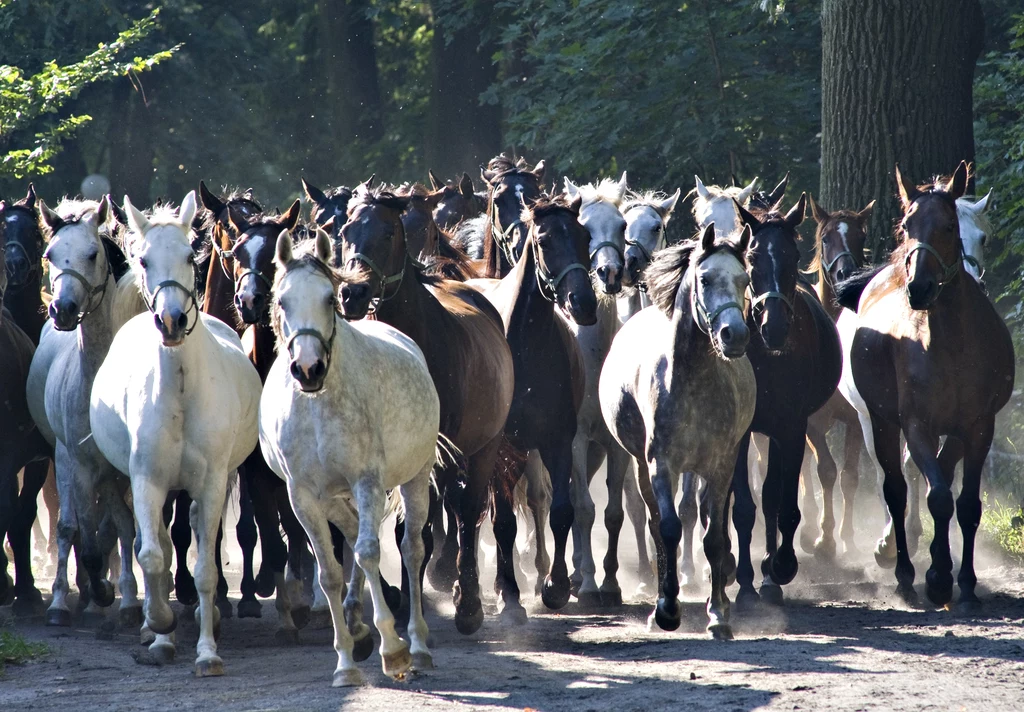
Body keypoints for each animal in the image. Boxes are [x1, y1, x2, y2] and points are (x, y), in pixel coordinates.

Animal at [88, 192, 262, 676]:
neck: (182, 390)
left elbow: (205, 570)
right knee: (161, 547)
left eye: (190, 256)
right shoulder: (147, 480)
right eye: (144, 260)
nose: (171, 320)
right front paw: (159, 626)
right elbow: (151, 555)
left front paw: (207, 652)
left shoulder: (212, 481)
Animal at [258, 228, 438, 684]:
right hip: (333, 498)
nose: (308, 368)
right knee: (355, 536)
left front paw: (394, 649)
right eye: (282, 300)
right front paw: (344, 662)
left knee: (410, 548)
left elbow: (369, 552)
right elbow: (329, 573)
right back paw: (358, 625)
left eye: (329, 298)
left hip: (414, 478)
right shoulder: (303, 497)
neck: (318, 405)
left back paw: (417, 644)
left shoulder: (366, 482)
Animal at [335, 183, 516, 635]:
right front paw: (399, 602)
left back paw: (467, 603)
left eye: (388, 233)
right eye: (344, 231)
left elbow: (420, 528)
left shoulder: (431, 455)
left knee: (467, 513)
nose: (352, 293)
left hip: (483, 447)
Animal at [598, 225, 753, 639]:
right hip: (641, 467)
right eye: (705, 278)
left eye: (745, 280)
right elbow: (667, 528)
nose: (734, 335)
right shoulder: (661, 464)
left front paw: (718, 614)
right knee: (655, 523)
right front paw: (667, 609)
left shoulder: (721, 465)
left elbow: (714, 537)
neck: (694, 380)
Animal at [835, 163, 1011, 610]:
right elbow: (936, 496)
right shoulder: (916, 425)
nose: (919, 287)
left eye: (951, 226)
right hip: (877, 421)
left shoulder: (978, 427)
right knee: (897, 488)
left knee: (935, 475)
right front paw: (937, 578)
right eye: (906, 225)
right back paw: (901, 569)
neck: (952, 345)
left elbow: (966, 504)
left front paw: (963, 581)